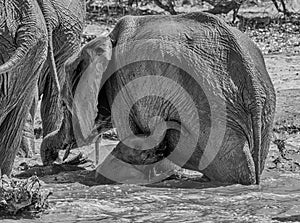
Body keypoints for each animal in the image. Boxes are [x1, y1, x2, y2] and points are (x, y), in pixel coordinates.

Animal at [41, 11, 276, 185]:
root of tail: (253, 83)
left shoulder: (121, 83)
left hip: (213, 109)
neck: (104, 41)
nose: (50, 160)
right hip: (263, 109)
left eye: (63, 104)